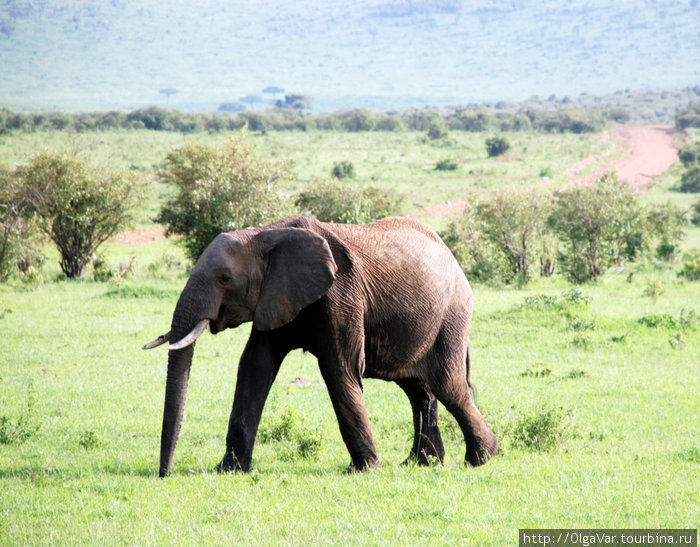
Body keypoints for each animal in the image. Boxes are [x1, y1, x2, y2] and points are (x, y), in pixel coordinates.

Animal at [142, 216, 494, 478]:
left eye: (224, 279)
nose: (164, 474)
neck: (264, 234)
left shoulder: (341, 294)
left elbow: (340, 368)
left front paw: (363, 470)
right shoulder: (276, 294)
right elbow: (255, 367)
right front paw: (230, 470)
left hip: (452, 316)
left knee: (448, 385)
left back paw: (482, 458)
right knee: (418, 390)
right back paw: (421, 464)